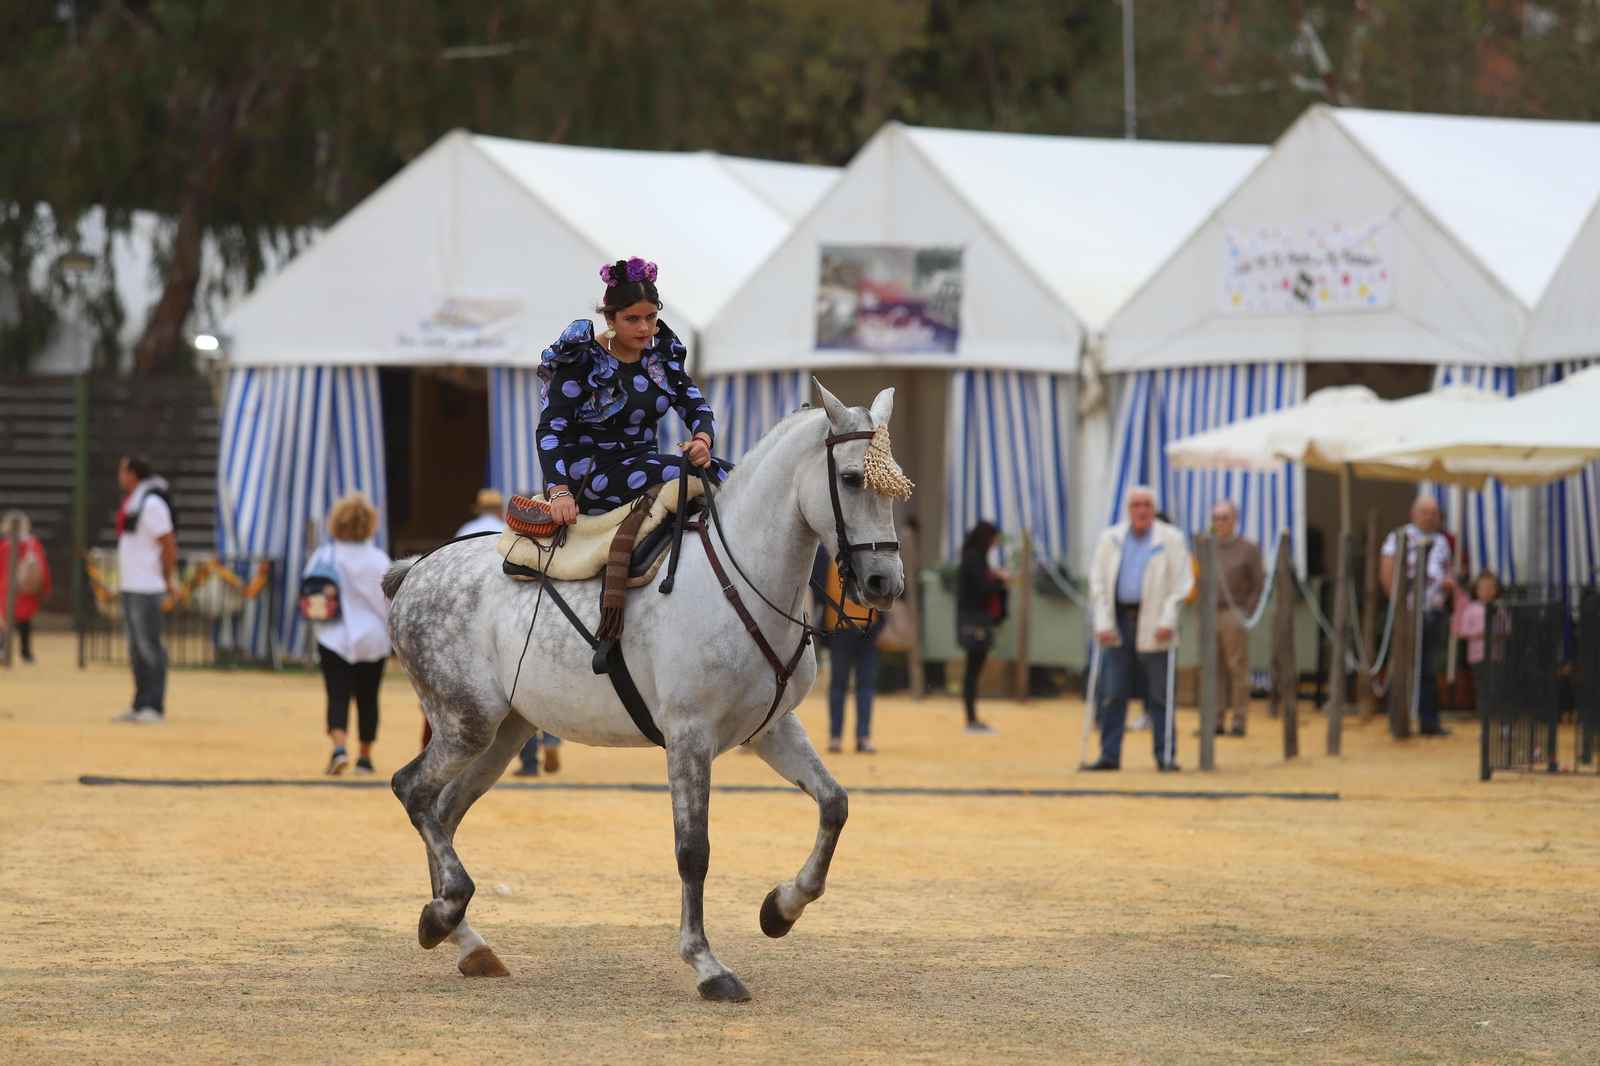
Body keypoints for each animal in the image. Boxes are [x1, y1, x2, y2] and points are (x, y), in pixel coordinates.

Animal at [381, 383, 906, 1002]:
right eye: (850, 479)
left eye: (896, 483)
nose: (885, 583)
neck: (741, 579)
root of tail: (416, 568)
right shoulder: (689, 735)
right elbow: (693, 851)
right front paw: (707, 965)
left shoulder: (772, 730)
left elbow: (834, 804)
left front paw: (780, 909)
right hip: (468, 723)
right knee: (413, 791)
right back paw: (447, 911)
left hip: (504, 735)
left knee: (445, 808)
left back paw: (463, 937)